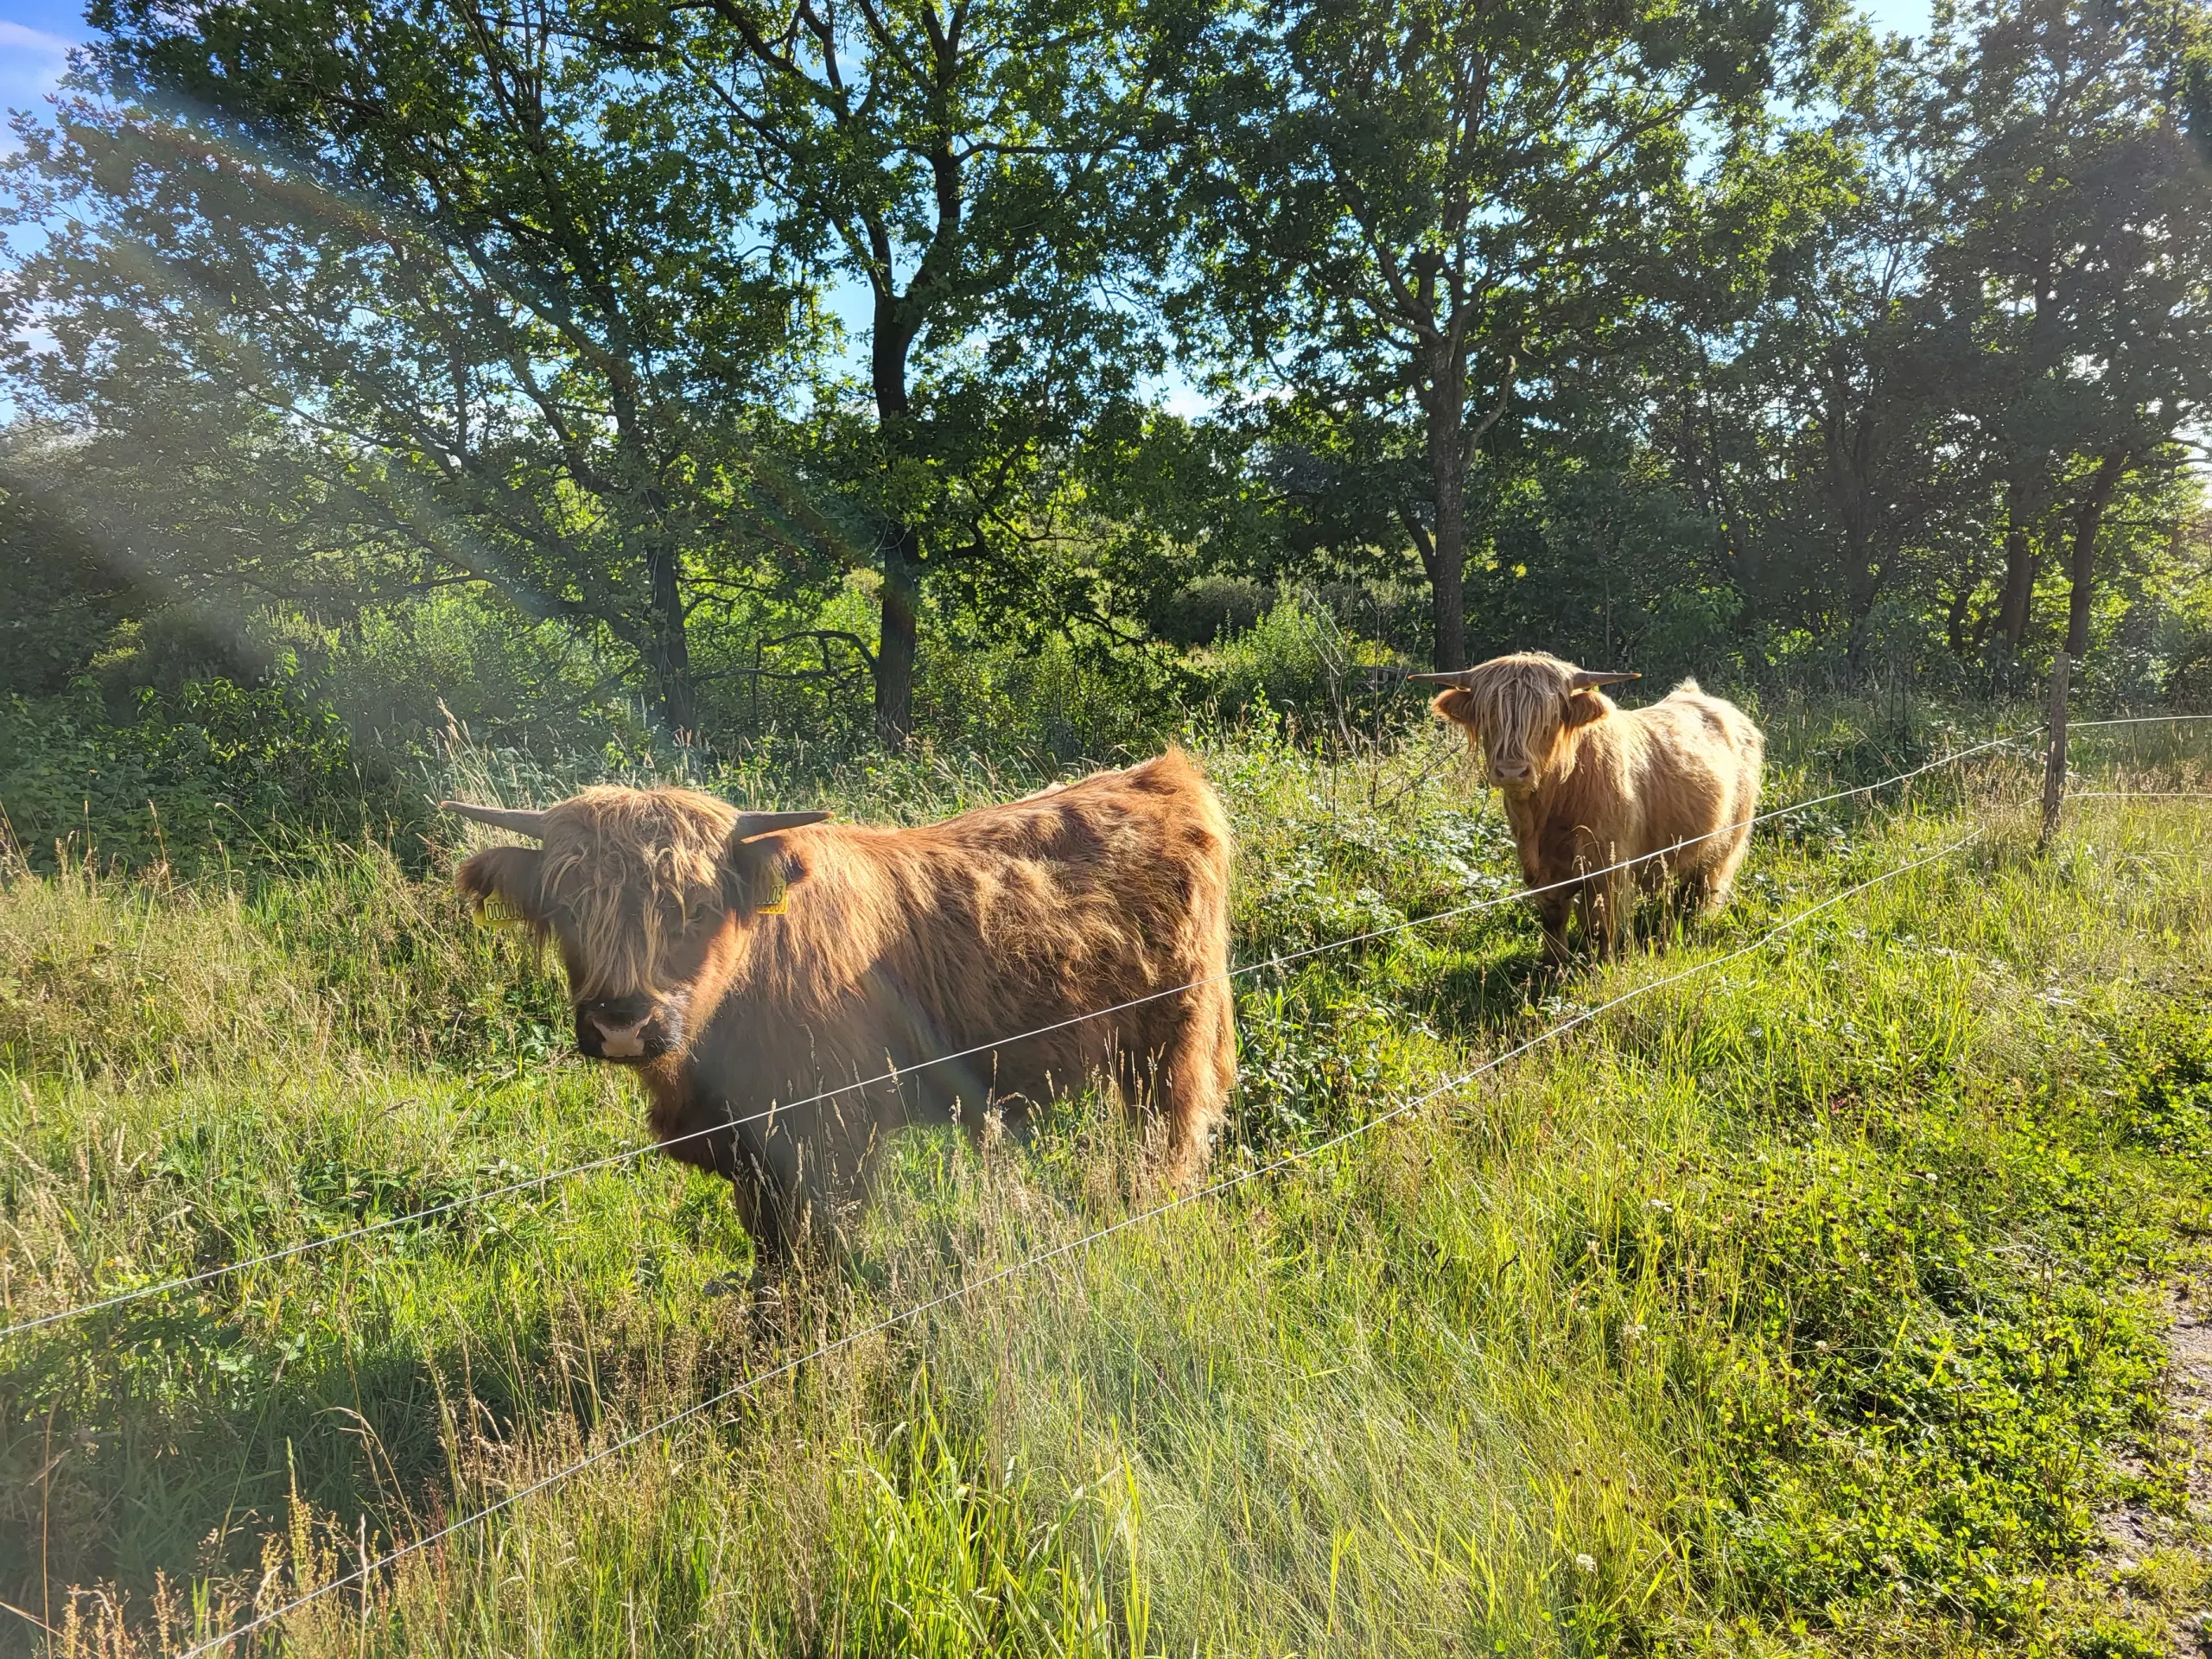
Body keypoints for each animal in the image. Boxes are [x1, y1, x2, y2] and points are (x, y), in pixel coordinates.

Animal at [1415, 654, 1760, 960]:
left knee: (1701, 889)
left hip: (1725, 842)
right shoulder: (1541, 871)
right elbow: (1553, 919)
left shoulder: (1607, 864)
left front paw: (1601, 967)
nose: (1512, 770)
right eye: (1489, 716)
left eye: (1548, 721)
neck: (1546, 814)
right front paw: (1553, 966)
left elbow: (1600, 925)